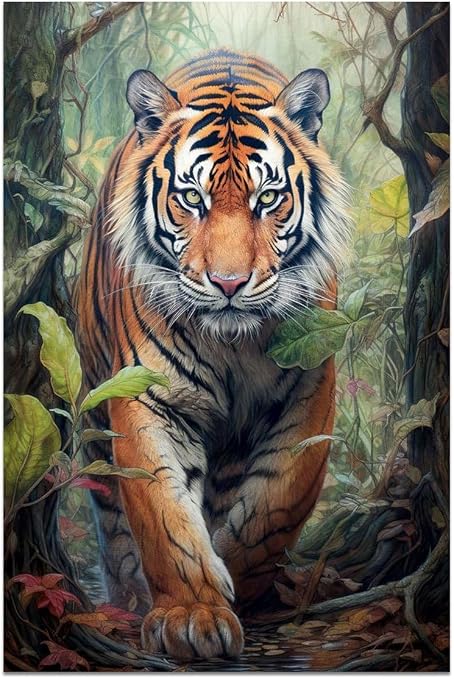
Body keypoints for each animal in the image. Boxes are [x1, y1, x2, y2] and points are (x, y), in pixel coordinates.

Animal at [76, 49, 350, 660]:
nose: (228, 284)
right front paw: (192, 615)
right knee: (113, 520)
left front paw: (236, 583)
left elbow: (271, 513)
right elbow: (164, 516)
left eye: (267, 198)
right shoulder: (147, 397)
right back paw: (127, 595)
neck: (233, 346)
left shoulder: (309, 394)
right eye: (190, 199)